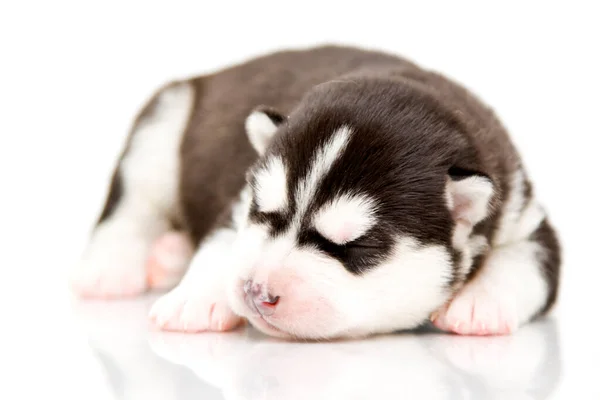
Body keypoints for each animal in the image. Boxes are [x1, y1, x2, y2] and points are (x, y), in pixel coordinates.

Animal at [69, 45, 556, 340]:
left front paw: (479, 304)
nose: (255, 290)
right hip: (162, 124)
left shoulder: (518, 205)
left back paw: (168, 255)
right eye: (263, 212)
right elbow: (223, 242)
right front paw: (195, 299)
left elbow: (528, 261)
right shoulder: (238, 200)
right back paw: (111, 269)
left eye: (355, 246)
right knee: (130, 206)